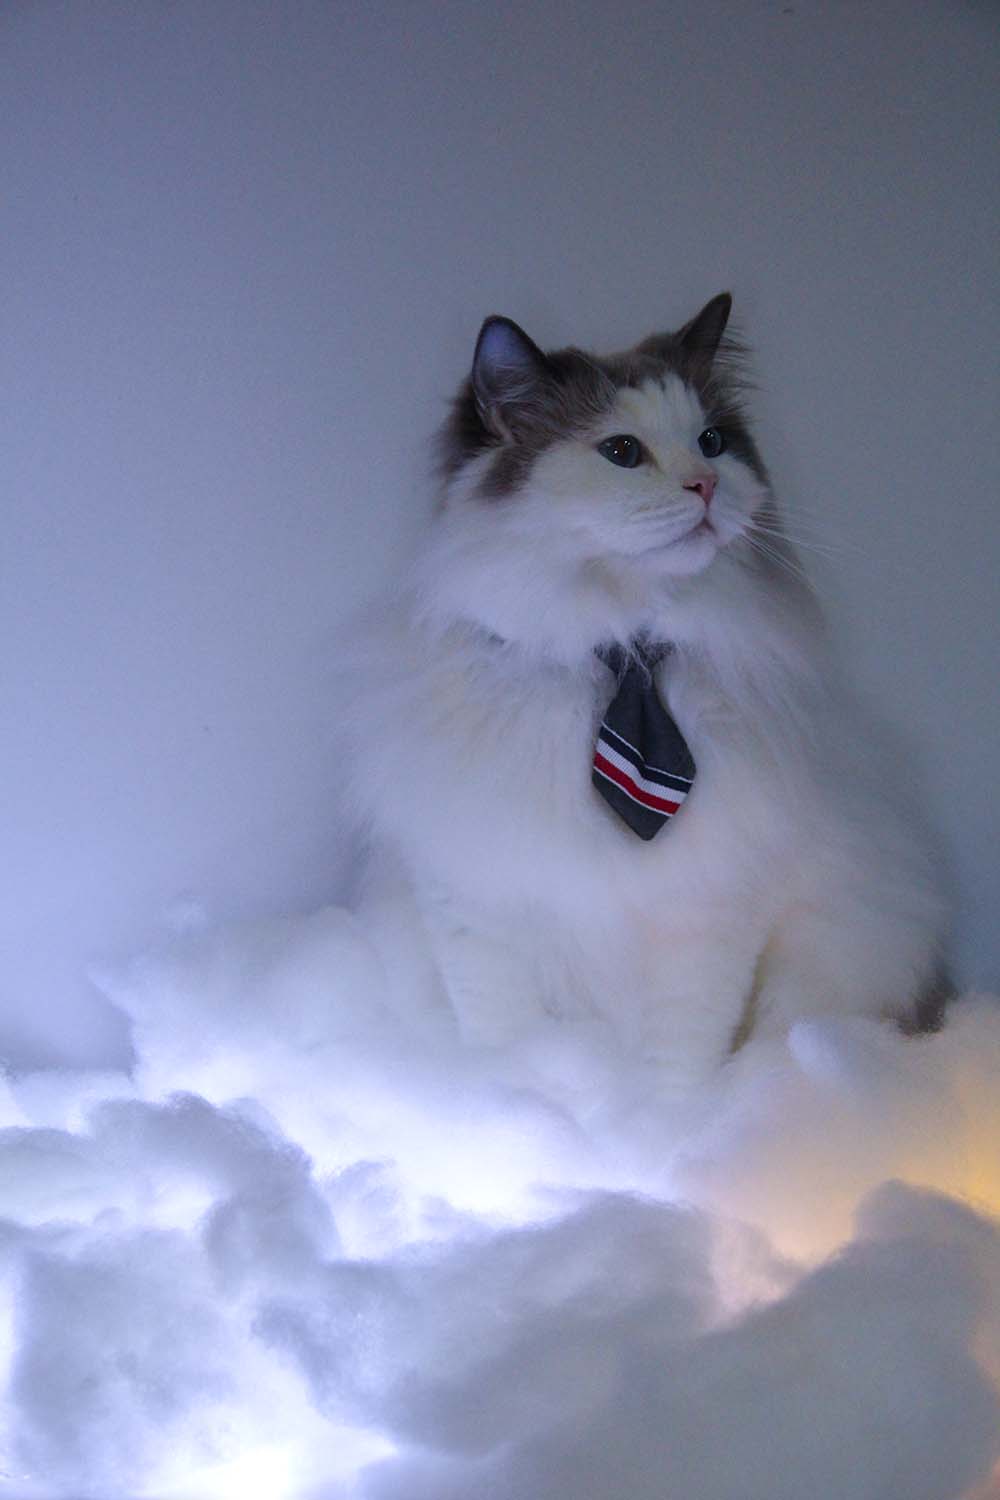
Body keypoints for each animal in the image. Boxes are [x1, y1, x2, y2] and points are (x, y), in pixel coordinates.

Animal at [339, 294, 948, 1089]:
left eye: (713, 442)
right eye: (623, 453)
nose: (706, 486)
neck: (622, 656)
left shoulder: (707, 912)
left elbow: (679, 1063)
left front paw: (660, 1121)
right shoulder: (478, 902)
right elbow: (503, 1037)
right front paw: (515, 1103)